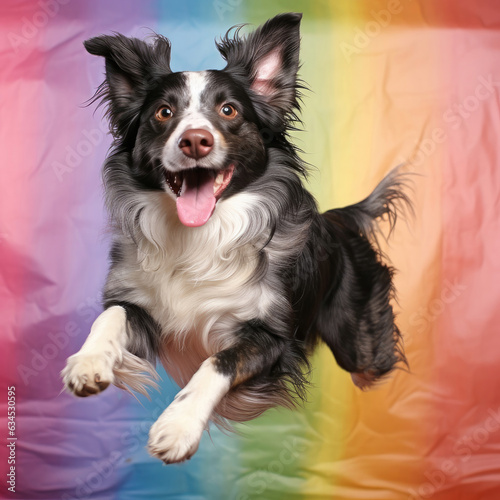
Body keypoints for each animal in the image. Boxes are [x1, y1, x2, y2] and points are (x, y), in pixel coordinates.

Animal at [62, 12, 408, 464]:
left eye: (228, 110)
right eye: (164, 112)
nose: (195, 140)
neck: (200, 237)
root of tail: (336, 220)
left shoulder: (271, 337)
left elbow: (218, 362)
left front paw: (178, 425)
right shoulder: (141, 309)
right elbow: (111, 316)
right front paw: (87, 362)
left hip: (361, 346)